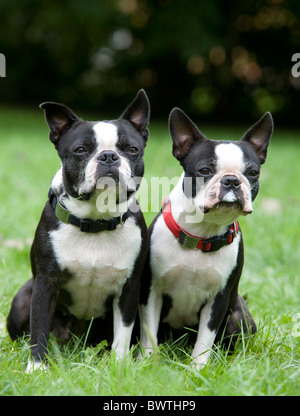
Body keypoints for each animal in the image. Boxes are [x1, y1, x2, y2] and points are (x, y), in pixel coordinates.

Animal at [7, 89, 150, 372]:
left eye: (132, 149)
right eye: (80, 150)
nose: (108, 156)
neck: (95, 222)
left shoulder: (129, 289)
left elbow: (123, 331)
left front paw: (118, 366)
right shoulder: (45, 284)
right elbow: (39, 326)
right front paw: (37, 368)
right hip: (23, 297)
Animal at [139, 107, 274, 368]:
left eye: (253, 173)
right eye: (204, 171)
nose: (231, 180)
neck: (202, 235)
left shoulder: (218, 299)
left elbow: (205, 339)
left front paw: (197, 369)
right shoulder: (151, 291)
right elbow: (148, 333)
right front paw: (148, 363)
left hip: (238, 315)